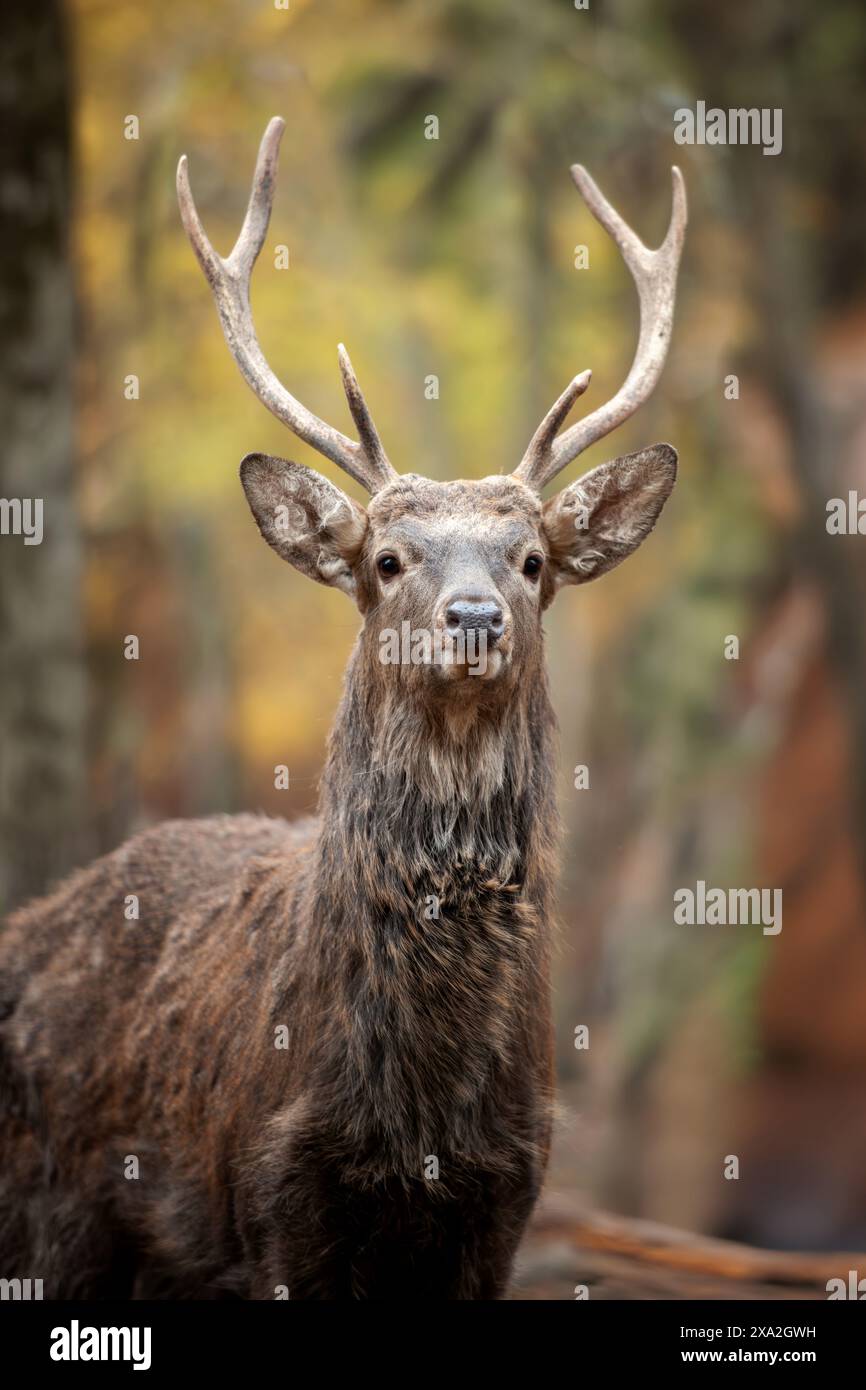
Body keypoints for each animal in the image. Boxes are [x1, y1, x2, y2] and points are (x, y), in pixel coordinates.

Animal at [0, 117, 686, 1300]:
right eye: (385, 558)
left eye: (532, 560)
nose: (472, 615)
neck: (415, 1116)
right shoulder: (275, 1190)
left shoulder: (509, 1197)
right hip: (46, 1216)